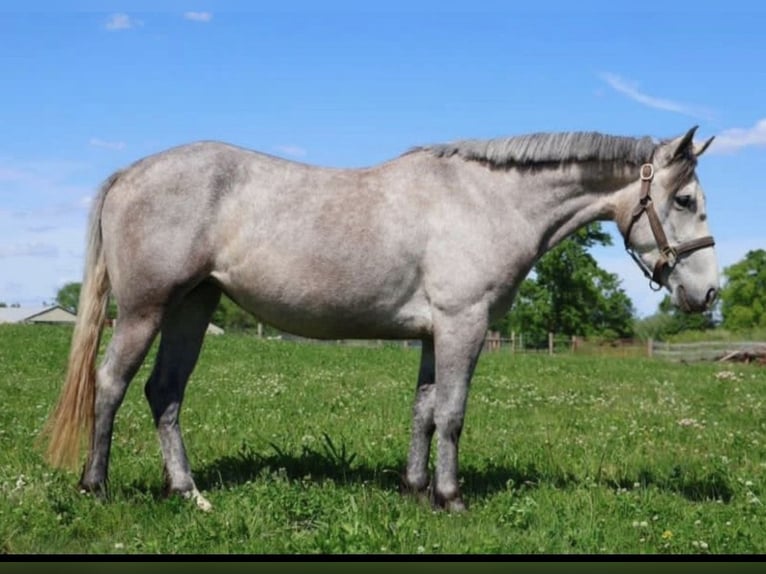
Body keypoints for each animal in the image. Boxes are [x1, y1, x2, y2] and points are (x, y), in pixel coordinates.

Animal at [43, 126, 718, 512]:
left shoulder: (434, 334)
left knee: (164, 392)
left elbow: (423, 412)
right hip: (146, 310)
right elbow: (452, 414)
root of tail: (129, 172)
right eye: (685, 199)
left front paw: (415, 490)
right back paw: (96, 488)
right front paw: (451, 499)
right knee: (111, 385)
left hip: (193, 304)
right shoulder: (464, 326)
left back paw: (187, 493)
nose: (707, 294)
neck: (485, 201)